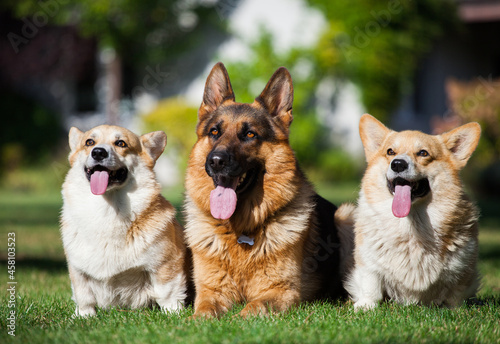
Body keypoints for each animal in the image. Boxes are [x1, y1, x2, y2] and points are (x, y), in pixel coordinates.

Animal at [60, 125, 188, 316]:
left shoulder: (164, 264)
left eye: (121, 143)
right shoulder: (78, 270)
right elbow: (84, 296)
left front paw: (173, 315)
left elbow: (168, 294)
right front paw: (83, 316)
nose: (98, 152)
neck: (108, 209)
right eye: (89, 142)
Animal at [184, 61, 352, 318]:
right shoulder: (211, 290)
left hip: (346, 214)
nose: (216, 161)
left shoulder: (282, 291)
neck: (240, 231)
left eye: (249, 134)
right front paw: (200, 320)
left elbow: (253, 307)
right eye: (214, 132)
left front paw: (238, 320)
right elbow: (203, 311)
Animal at [348, 115, 480, 310]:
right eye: (390, 151)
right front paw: (366, 306)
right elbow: (371, 284)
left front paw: (457, 310)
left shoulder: (462, 268)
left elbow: (455, 294)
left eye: (423, 153)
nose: (398, 164)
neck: (411, 224)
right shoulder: (368, 263)